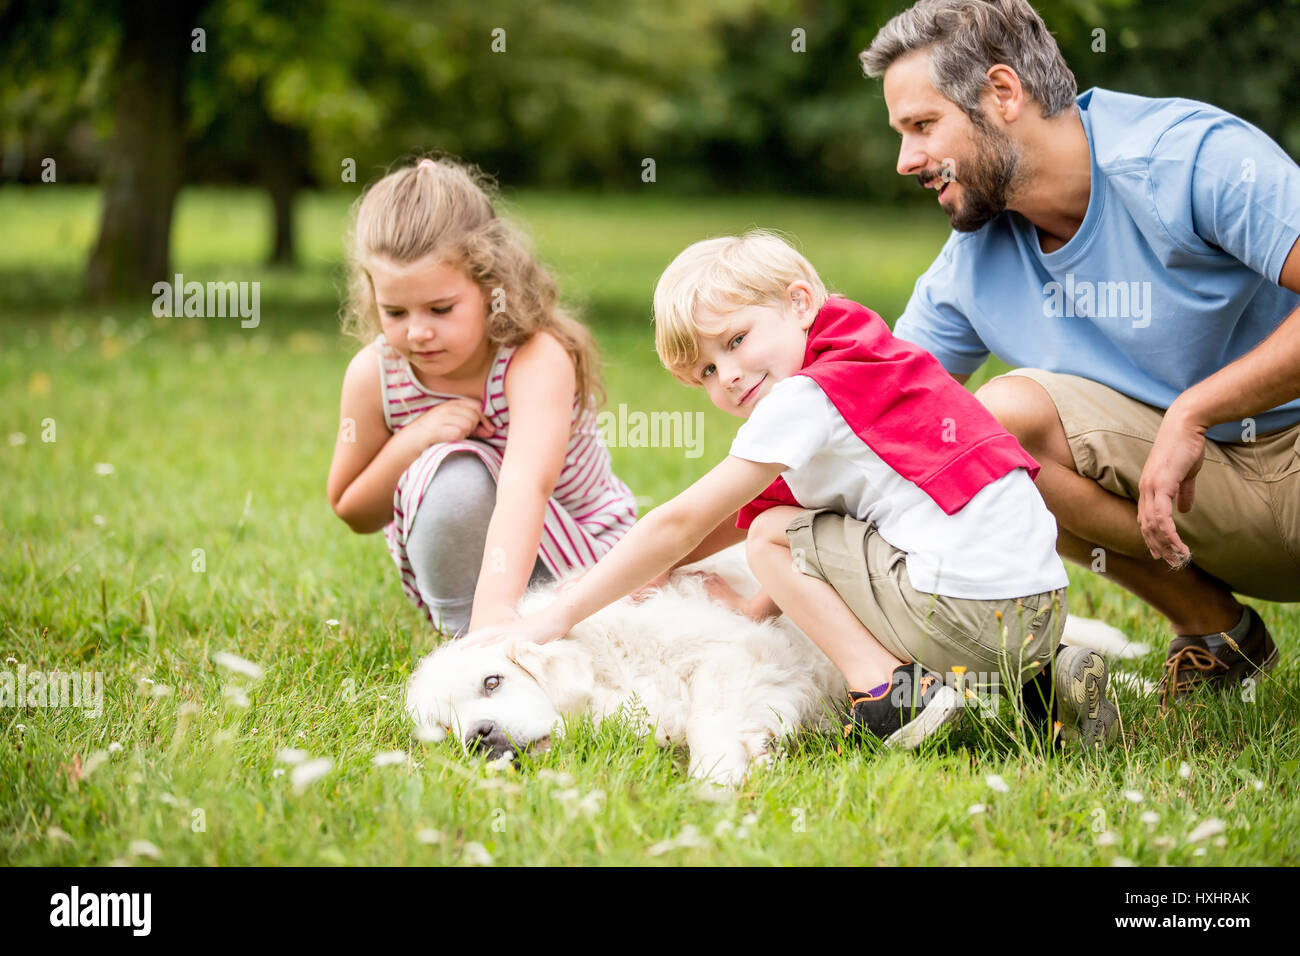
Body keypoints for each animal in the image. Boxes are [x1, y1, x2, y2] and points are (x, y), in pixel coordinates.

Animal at [403, 546, 1138, 785]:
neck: (605, 661)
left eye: (493, 682)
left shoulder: (735, 657)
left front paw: (718, 782)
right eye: (447, 734)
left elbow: (710, 723)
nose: (481, 738)